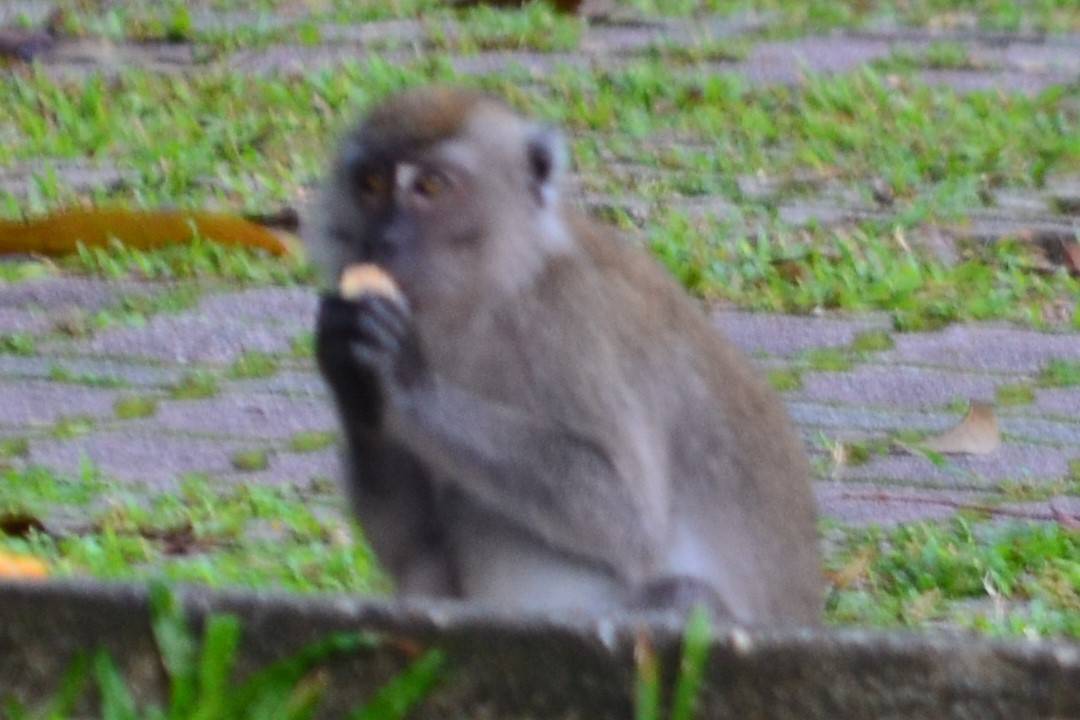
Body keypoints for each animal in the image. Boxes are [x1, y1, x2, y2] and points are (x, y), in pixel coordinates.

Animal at [308, 84, 820, 626]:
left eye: (430, 185)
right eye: (371, 182)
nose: (380, 239)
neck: (491, 291)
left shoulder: (569, 324)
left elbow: (627, 514)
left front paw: (400, 381)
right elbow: (411, 546)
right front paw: (349, 374)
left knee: (681, 594)